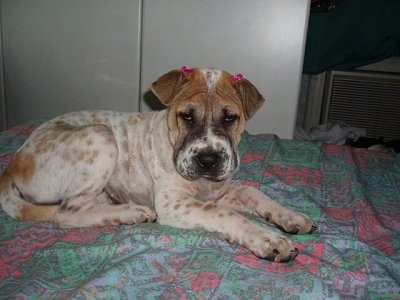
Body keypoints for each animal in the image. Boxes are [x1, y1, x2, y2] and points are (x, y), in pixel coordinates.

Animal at [0, 68, 318, 262]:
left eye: (230, 118)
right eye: (186, 116)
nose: (208, 160)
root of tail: (12, 164)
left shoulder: (220, 192)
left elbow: (254, 193)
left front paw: (291, 217)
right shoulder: (174, 204)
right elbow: (227, 215)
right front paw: (267, 239)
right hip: (102, 136)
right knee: (66, 214)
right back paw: (131, 212)